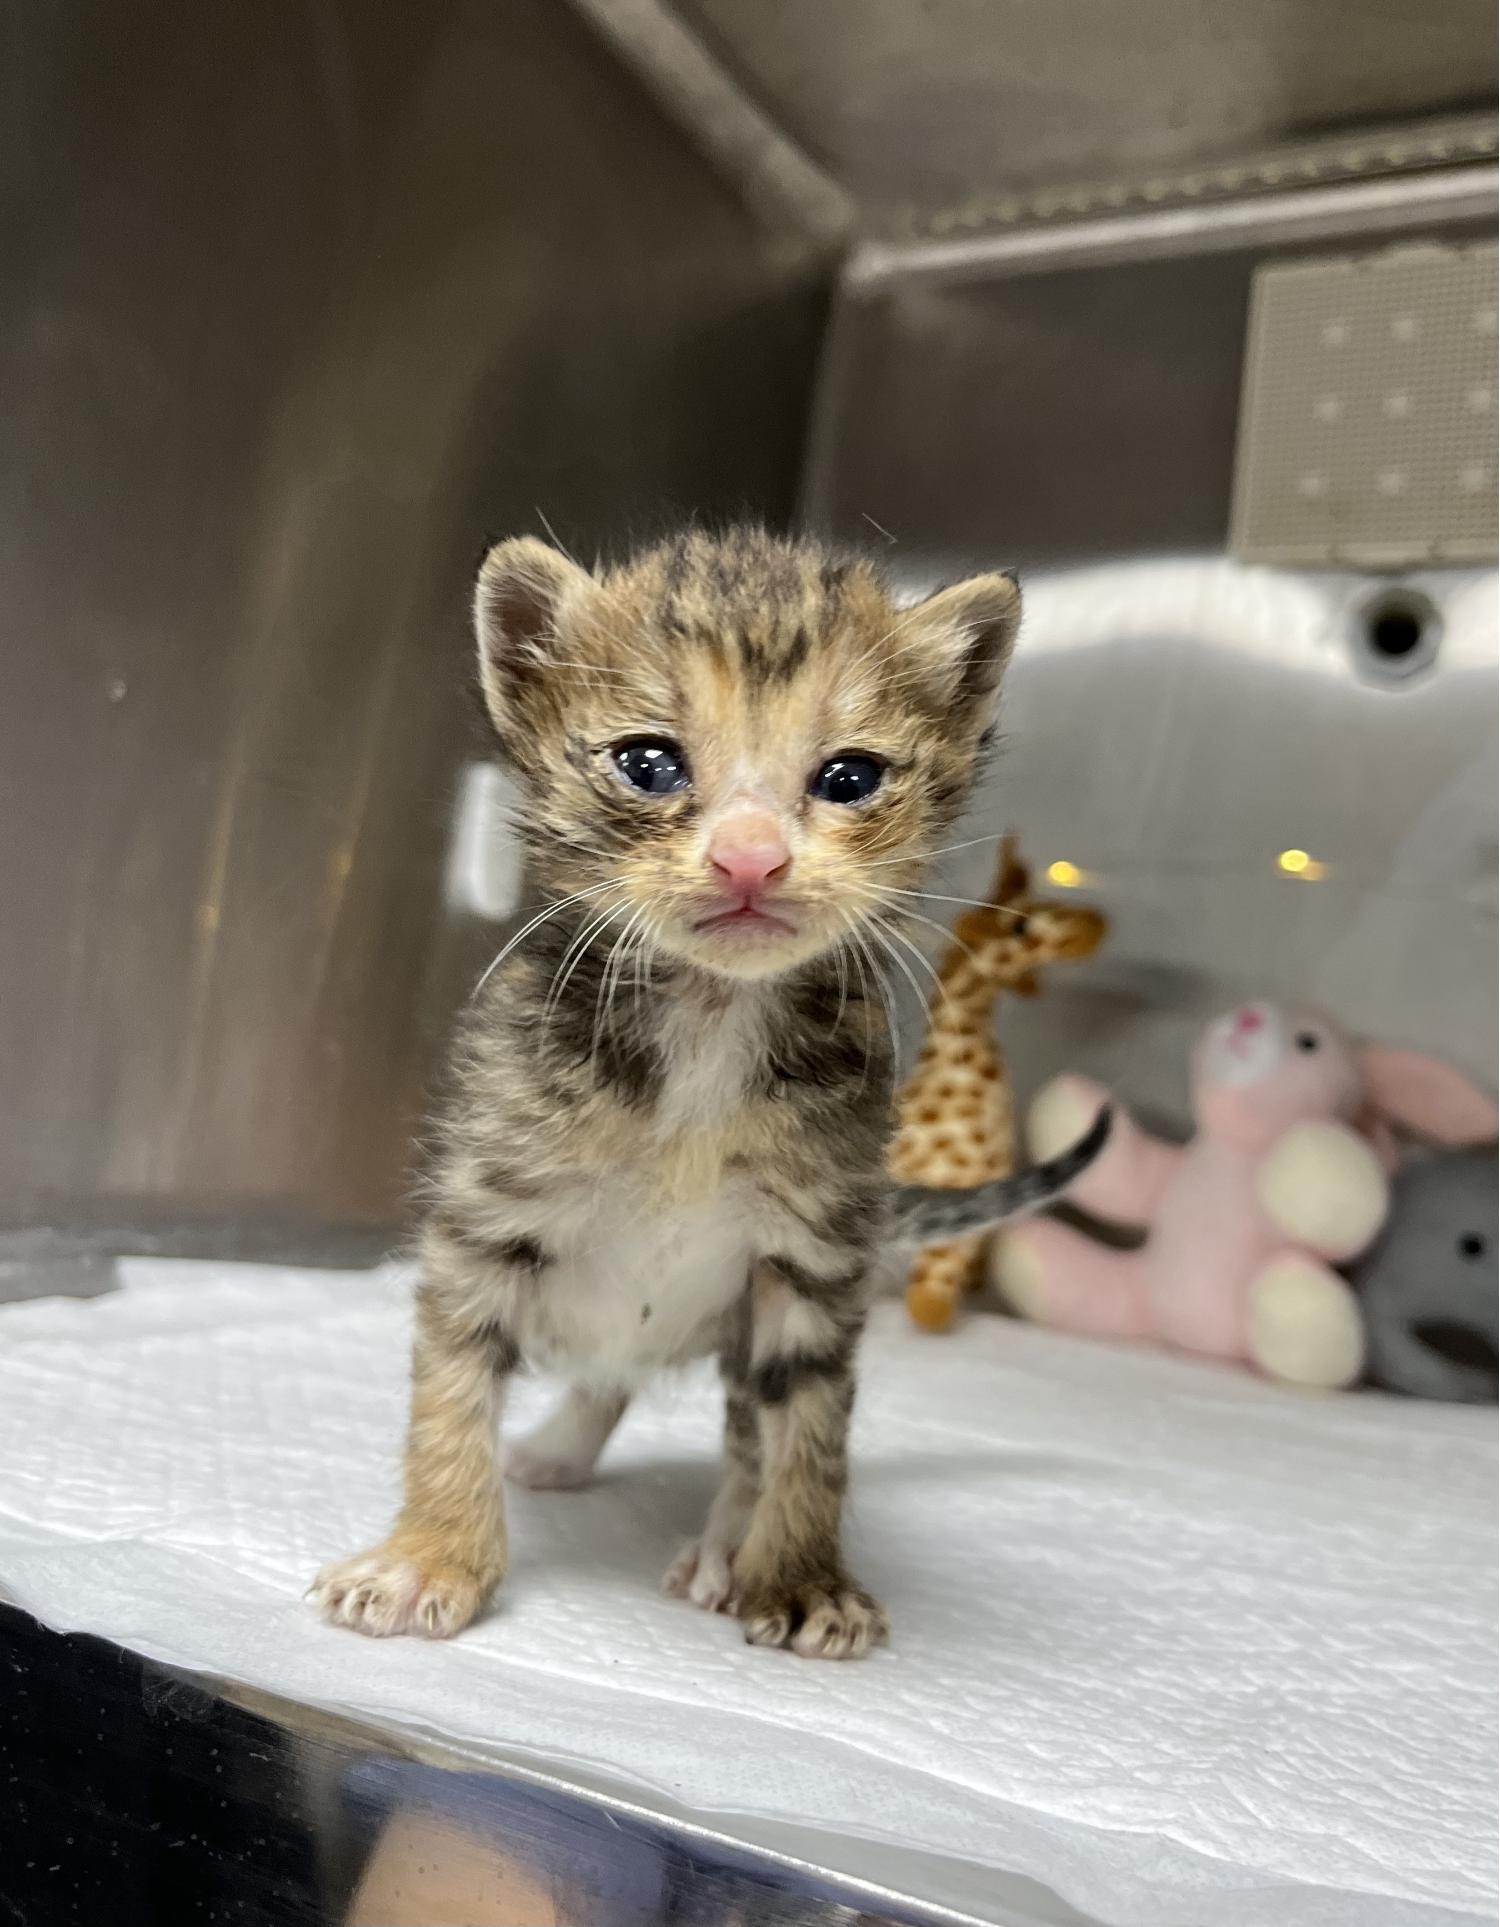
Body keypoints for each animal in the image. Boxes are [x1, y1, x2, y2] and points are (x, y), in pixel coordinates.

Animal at [312, 527, 1095, 1657]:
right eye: (649, 762)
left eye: (850, 776)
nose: (750, 857)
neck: (712, 1020)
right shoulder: (485, 1214)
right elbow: (449, 1393)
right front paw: (433, 1556)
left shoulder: (814, 1253)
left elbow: (806, 1430)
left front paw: (800, 1575)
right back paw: (559, 1448)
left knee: (739, 1424)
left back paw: (726, 1544)